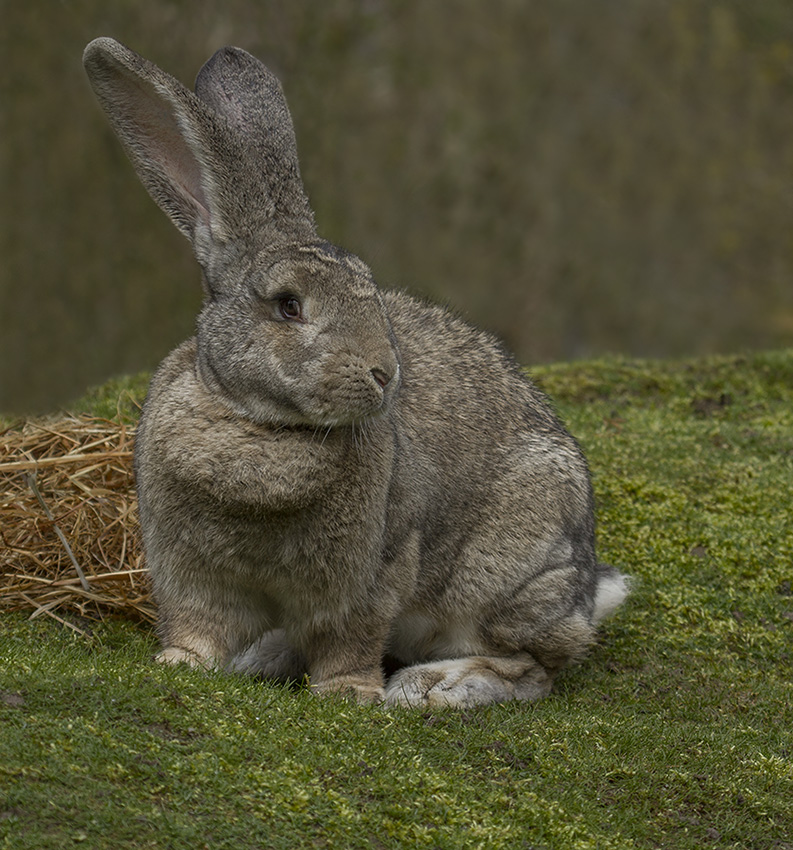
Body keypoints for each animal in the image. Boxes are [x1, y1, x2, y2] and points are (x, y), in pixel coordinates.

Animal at [80, 36, 624, 704]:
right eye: (288, 305)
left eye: (369, 289)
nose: (385, 374)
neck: (263, 426)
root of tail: (587, 593)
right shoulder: (189, 572)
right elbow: (198, 625)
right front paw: (181, 665)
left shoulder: (371, 573)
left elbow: (350, 638)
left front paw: (347, 694)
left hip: (504, 573)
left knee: (533, 665)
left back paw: (436, 687)